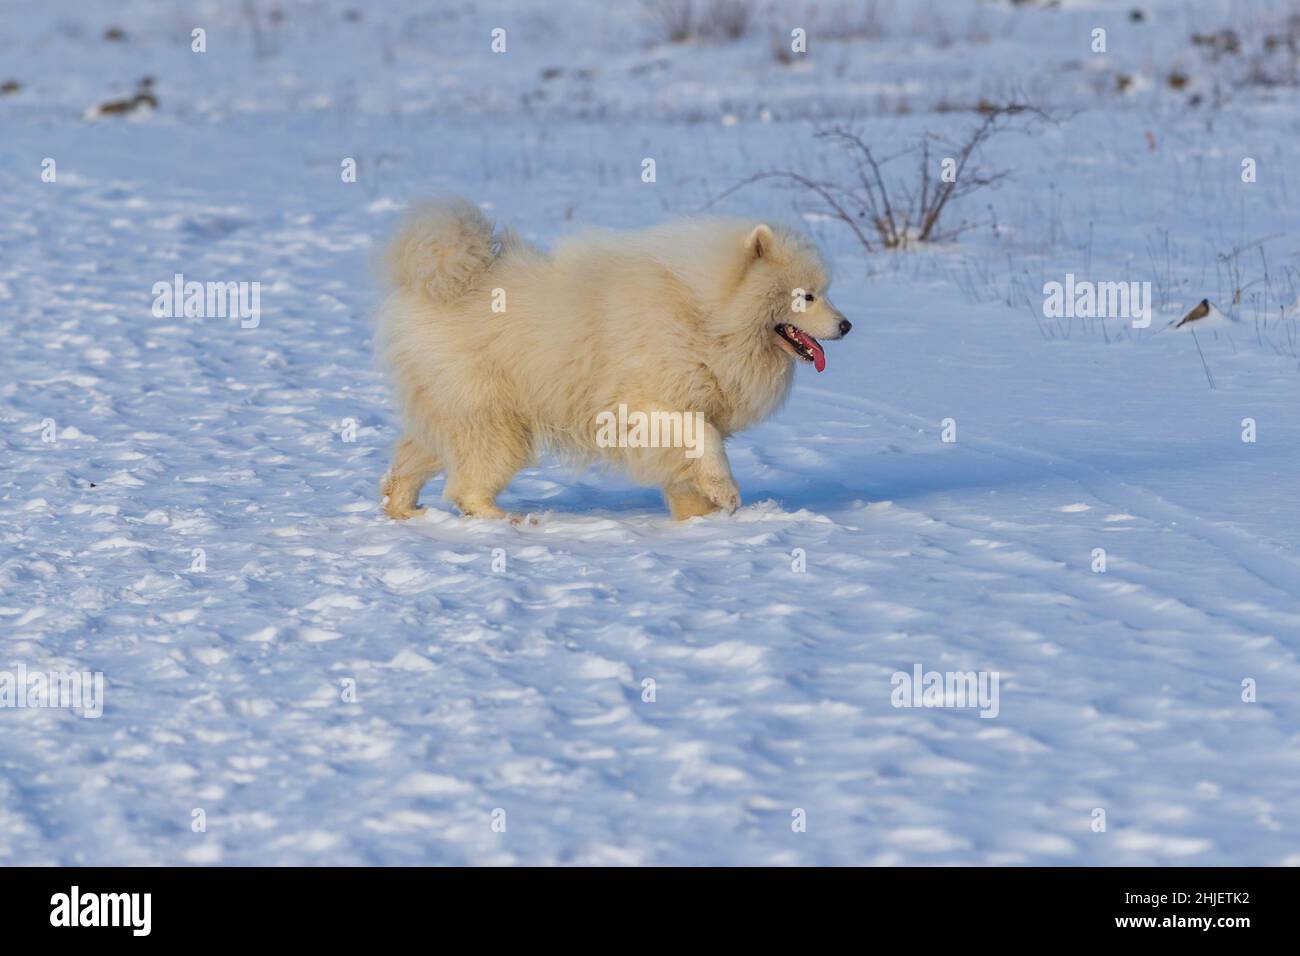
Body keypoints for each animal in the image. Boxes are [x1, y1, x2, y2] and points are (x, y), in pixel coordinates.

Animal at [374, 197, 852, 520]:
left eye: (824, 291)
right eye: (806, 296)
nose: (847, 325)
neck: (704, 313)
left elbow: (688, 461)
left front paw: (699, 519)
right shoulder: (646, 404)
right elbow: (704, 438)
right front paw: (726, 493)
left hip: (451, 410)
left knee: (413, 460)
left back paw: (404, 509)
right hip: (495, 417)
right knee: (467, 488)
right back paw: (509, 520)